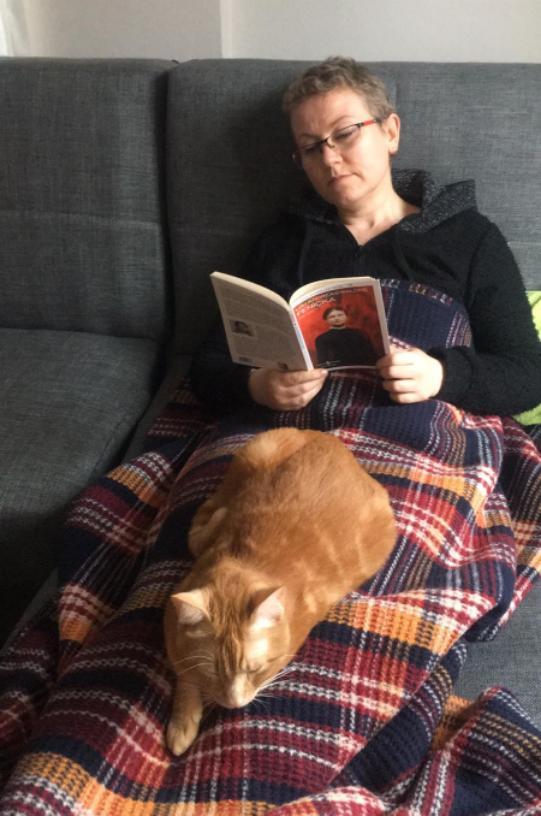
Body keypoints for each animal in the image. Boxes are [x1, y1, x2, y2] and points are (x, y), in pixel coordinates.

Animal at [164, 427, 396, 755]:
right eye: (215, 672)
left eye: (255, 670)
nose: (234, 704)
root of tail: (333, 441)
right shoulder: (172, 623)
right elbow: (185, 672)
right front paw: (184, 721)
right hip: (253, 453)